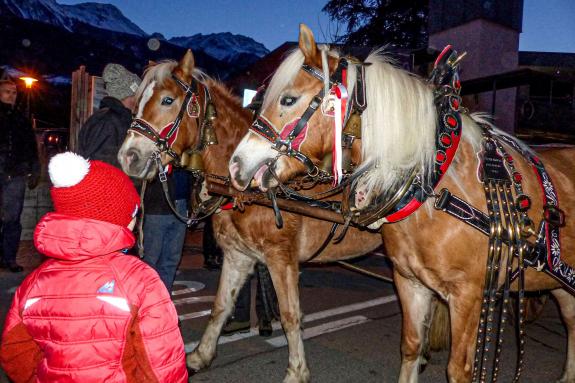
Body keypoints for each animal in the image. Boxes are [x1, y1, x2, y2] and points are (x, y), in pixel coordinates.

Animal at [117, 50, 410, 380]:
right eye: (139, 101)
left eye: (167, 100)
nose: (128, 156)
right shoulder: (237, 255)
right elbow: (221, 305)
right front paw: (200, 356)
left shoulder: (281, 259)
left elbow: (290, 315)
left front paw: (297, 370)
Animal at [228, 25, 575, 382]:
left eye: (288, 99)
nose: (236, 165)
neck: (435, 187)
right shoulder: (410, 282)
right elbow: (411, 347)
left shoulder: (468, 295)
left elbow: (458, 369)